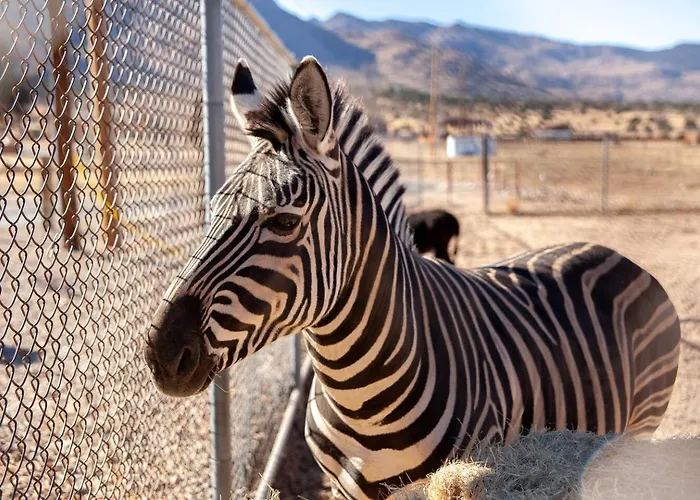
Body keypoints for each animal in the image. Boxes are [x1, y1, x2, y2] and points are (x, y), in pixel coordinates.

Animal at [144, 56, 681, 500]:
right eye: (212, 207)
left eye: (283, 222)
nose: (160, 354)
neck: (355, 392)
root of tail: (607, 247)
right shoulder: (344, 489)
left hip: (643, 421)